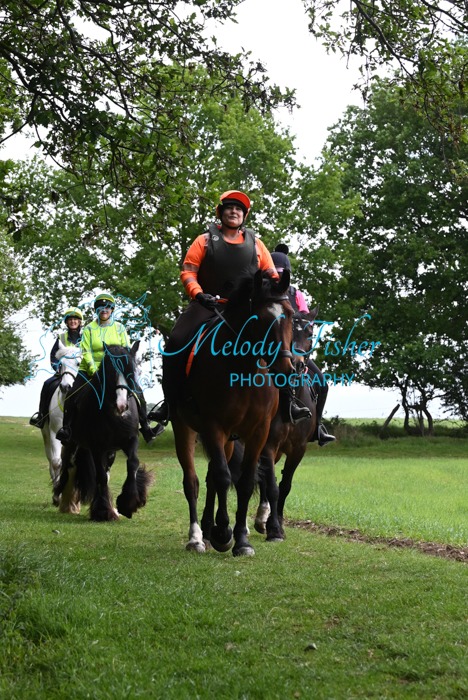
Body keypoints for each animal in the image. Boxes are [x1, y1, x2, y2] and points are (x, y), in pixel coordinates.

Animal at [39, 341, 81, 506]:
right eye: (60, 364)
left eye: (78, 363)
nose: (65, 387)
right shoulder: (53, 432)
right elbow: (57, 462)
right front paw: (57, 495)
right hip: (46, 435)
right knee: (51, 459)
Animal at [55, 343, 153, 521]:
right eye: (110, 370)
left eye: (131, 371)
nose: (122, 405)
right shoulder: (97, 447)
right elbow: (100, 475)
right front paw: (103, 511)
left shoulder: (130, 440)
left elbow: (132, 463)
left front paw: (128, 503)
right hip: (72, 443)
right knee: (68, 465)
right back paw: (62, 501)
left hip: (110, 451)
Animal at [170, 269, 294, 556]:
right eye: (261, 318)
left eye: (291, 315)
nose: (286, 369)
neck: (243, 370)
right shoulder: (213, 427)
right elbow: (224, 477)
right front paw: (224, 533)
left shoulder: (257, 432)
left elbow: (244, 482)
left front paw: (241, 540)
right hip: (185, 427)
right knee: (193, 481)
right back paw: (197, 537)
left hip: (228, 440)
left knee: (212, 478)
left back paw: (209, 531)